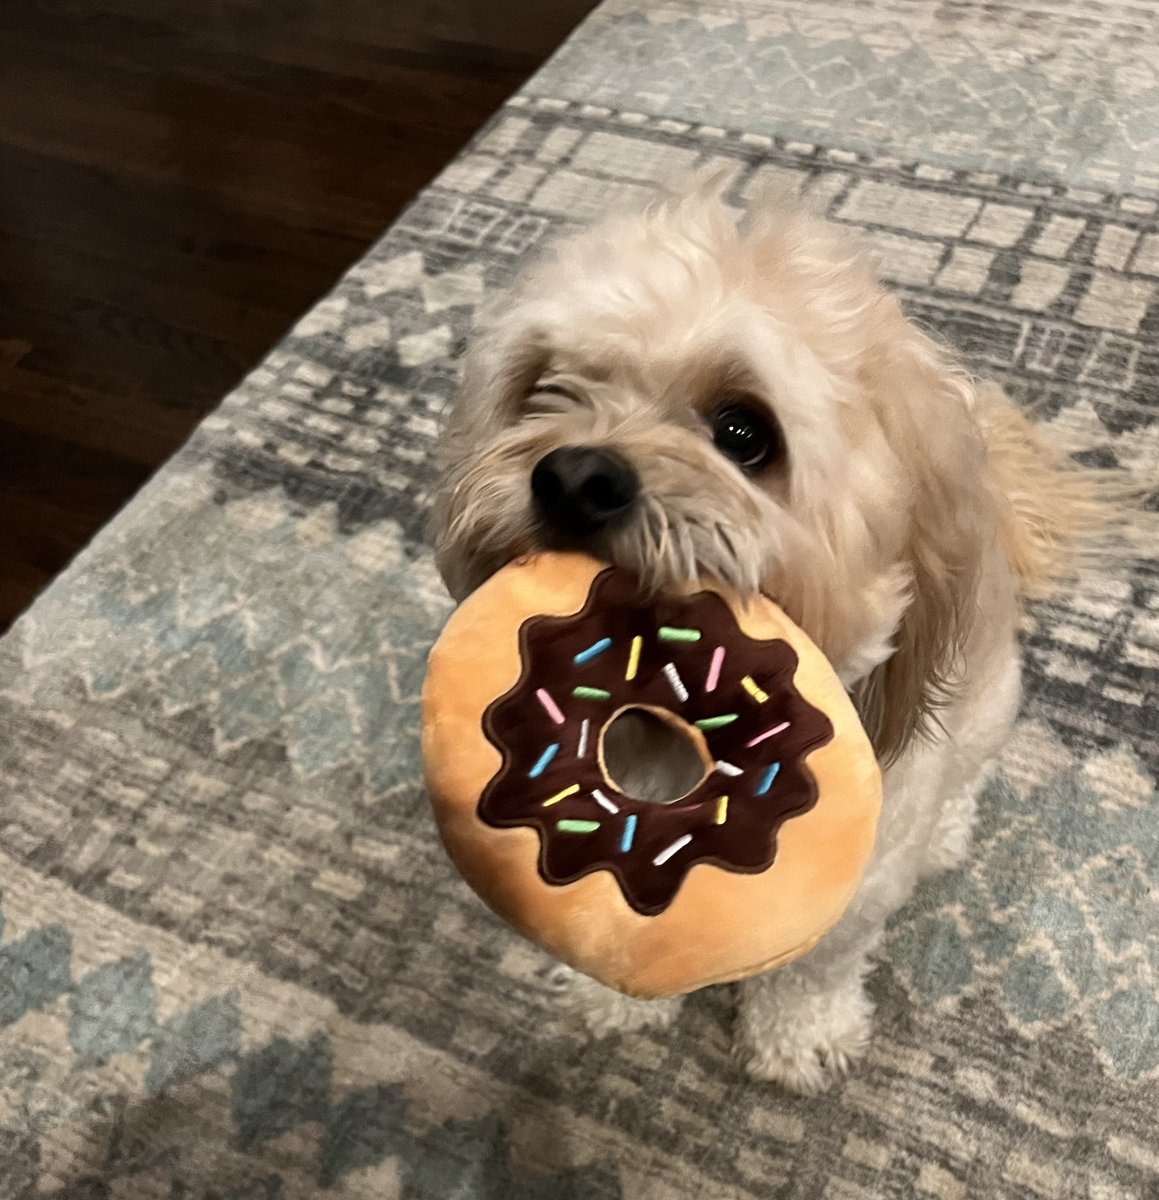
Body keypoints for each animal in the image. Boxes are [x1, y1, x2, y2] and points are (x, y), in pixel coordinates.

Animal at [429, 180, 1108, 1099]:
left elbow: (812, 972)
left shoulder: (852, 896)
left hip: (986, 700)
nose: (573, 476)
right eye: (544, 389)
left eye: (743, 433)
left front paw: (798, 1037)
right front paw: (611, 1000)